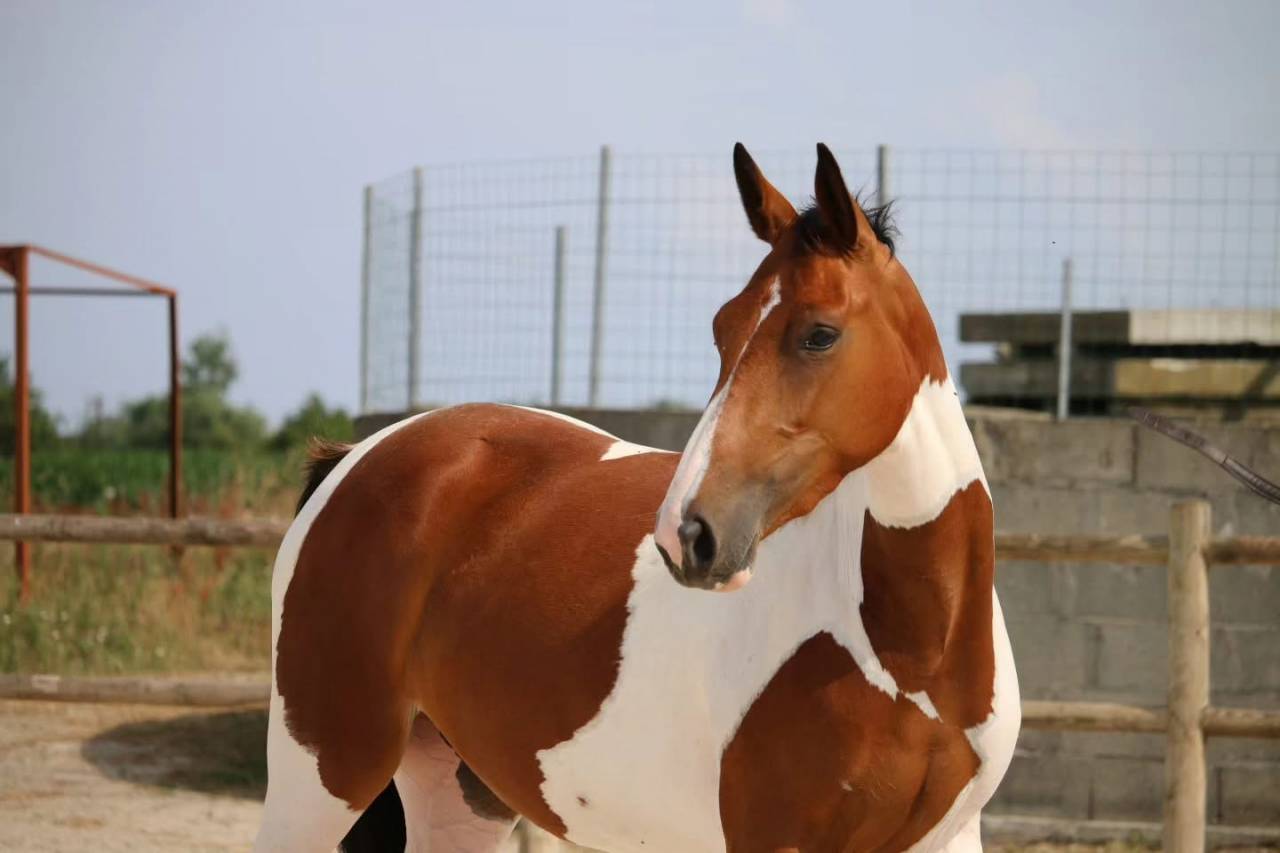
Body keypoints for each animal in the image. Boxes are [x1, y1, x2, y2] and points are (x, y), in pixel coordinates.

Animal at [254, 143, 1020, 853]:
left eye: (820, 333)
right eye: (721, 327)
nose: (689, 533)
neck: (911, 656)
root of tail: (357, 457)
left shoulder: (950, 837)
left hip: (458, 788)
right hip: (322, 772)